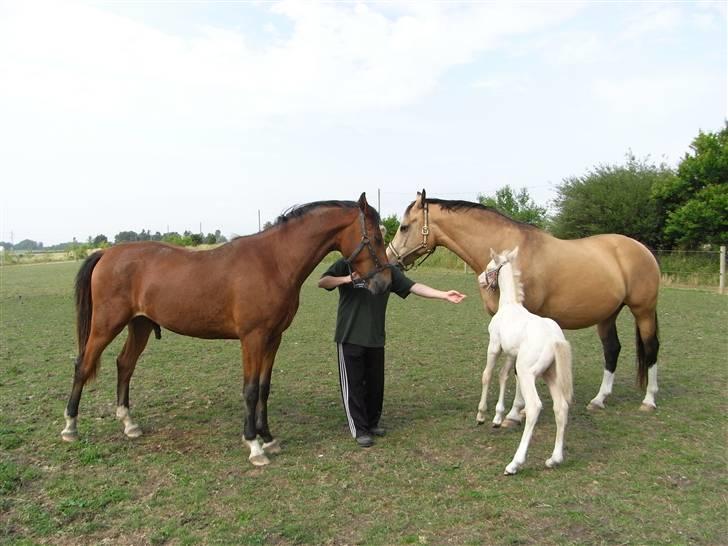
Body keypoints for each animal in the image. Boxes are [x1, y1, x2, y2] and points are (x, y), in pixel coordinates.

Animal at [62, 191, 392, 464]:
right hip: (106, 325)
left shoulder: (273, 338)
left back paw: (129, 423)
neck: (273, 262)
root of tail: (107, 253)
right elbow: (250, 390)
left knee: (125, 364)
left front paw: (268, 438)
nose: (385, 283)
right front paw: (254, 446)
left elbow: (264, 388)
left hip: (140, 325)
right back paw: (70, 427)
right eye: (376, 238)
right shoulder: (252, 338)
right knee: (83, 364)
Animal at [390, 188, 664, 420]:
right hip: (607, 315)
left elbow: (518, 370)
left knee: (651, 348)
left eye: (404, 227)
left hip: (644, 311)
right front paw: (514, 410)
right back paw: (599, 400)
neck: (510, 253)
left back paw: (649, 400)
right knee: (612, 350)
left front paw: (513, 413)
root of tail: (642, 249)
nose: (390, 259)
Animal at [478, 246, 576, 472]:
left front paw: (481, 415)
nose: (480, 279)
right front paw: (498, 417)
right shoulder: (511, 353)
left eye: (489, 267)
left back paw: (514, 464)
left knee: (534, 407)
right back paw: (554, 459)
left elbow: (488, 375)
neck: (509, 305)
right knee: (561, 407)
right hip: (551, 375)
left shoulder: (494, 346)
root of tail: (554, 339)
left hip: (527, 373)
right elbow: (503, 376)